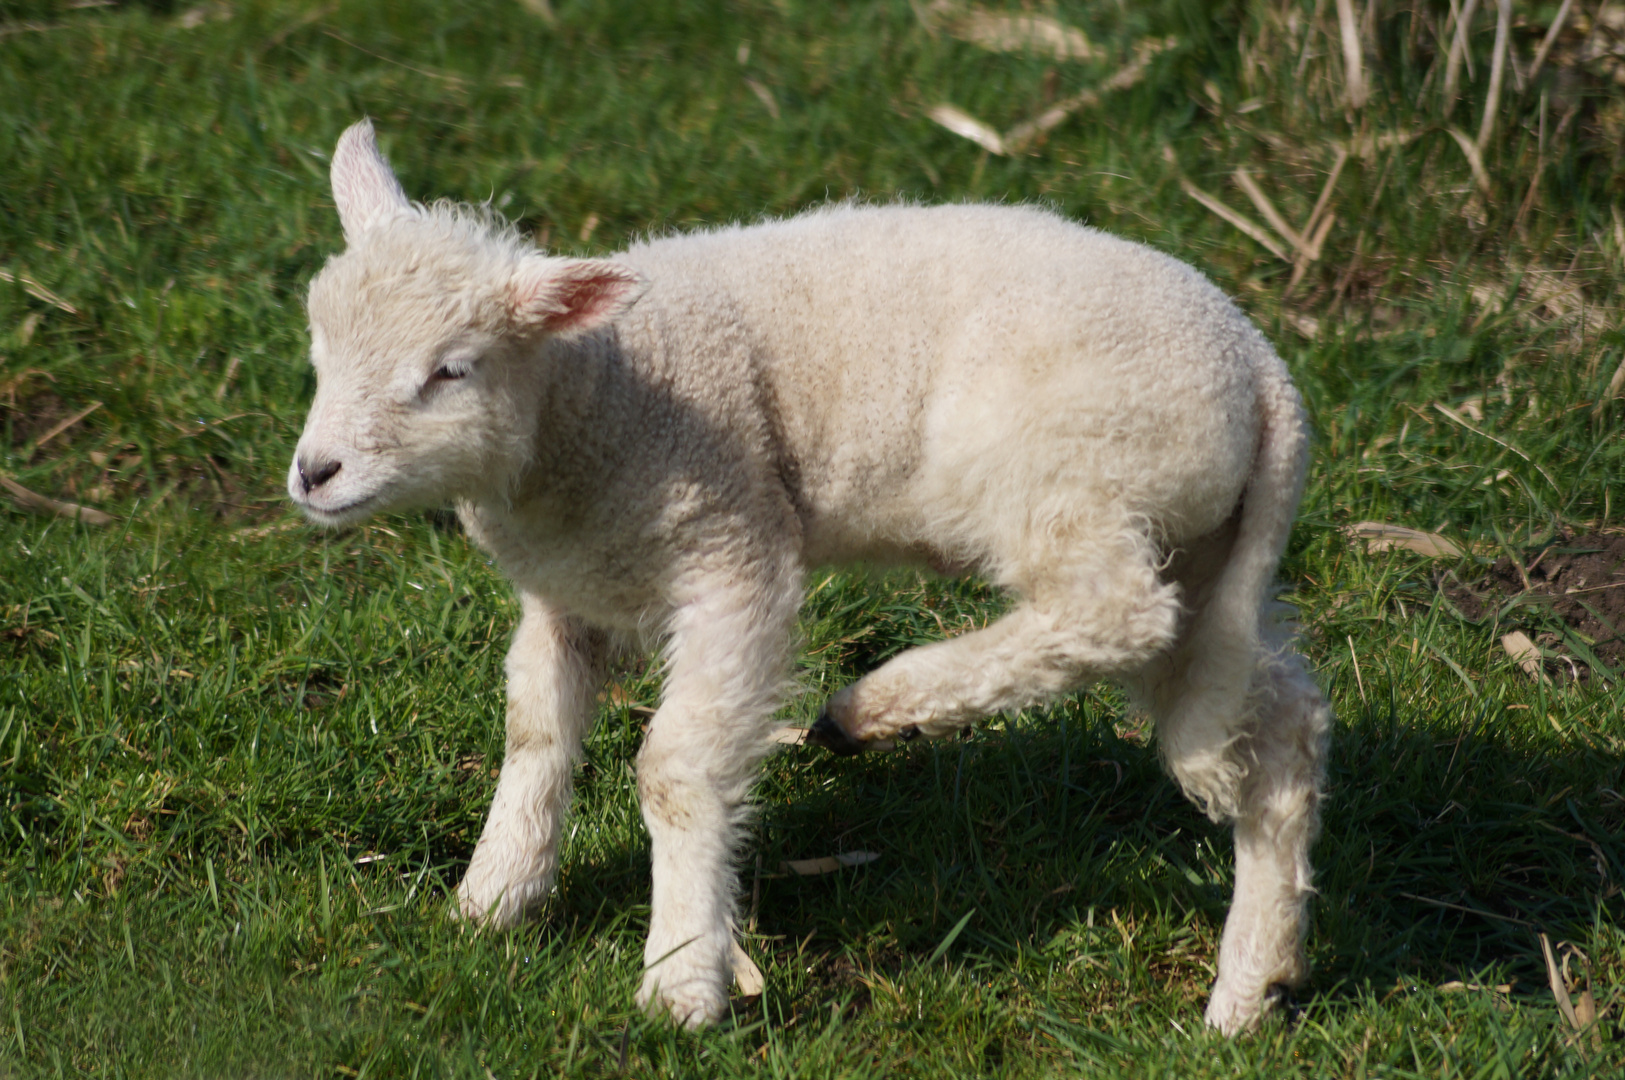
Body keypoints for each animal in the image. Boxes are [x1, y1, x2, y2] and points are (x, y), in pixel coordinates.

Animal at [292, 120, 1332, 1039]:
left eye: (451, 370)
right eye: (317, 354)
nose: (314, 474)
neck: (600, 394)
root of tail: (1262, 370)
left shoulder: (734, 552)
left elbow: (676, 769)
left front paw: (681, 979)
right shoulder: (568, 593)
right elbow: (534, 730)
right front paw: (495, 896)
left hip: (1067, 473)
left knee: (1110, 613)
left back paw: (876, 707)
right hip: (1199, 541)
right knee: (1278, 719)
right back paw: (1254, 985)